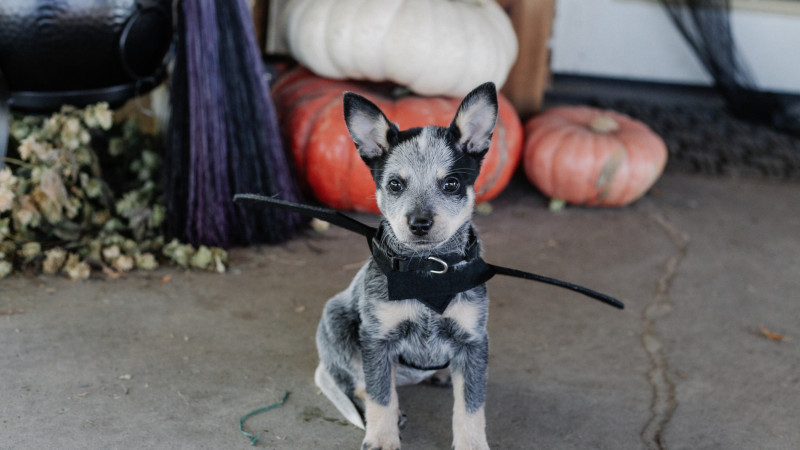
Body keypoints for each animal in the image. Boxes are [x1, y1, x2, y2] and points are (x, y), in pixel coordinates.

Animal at [314, 82, 496, 448]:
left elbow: (470, 407)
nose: (419, 223)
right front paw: (382, 439)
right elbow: (380, 396)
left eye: (451, 184)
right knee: (361, 383)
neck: (428, 270)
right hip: (337, 321)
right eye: (395, 184)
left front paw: (471, 443)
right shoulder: (377, 340)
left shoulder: (472, 341)